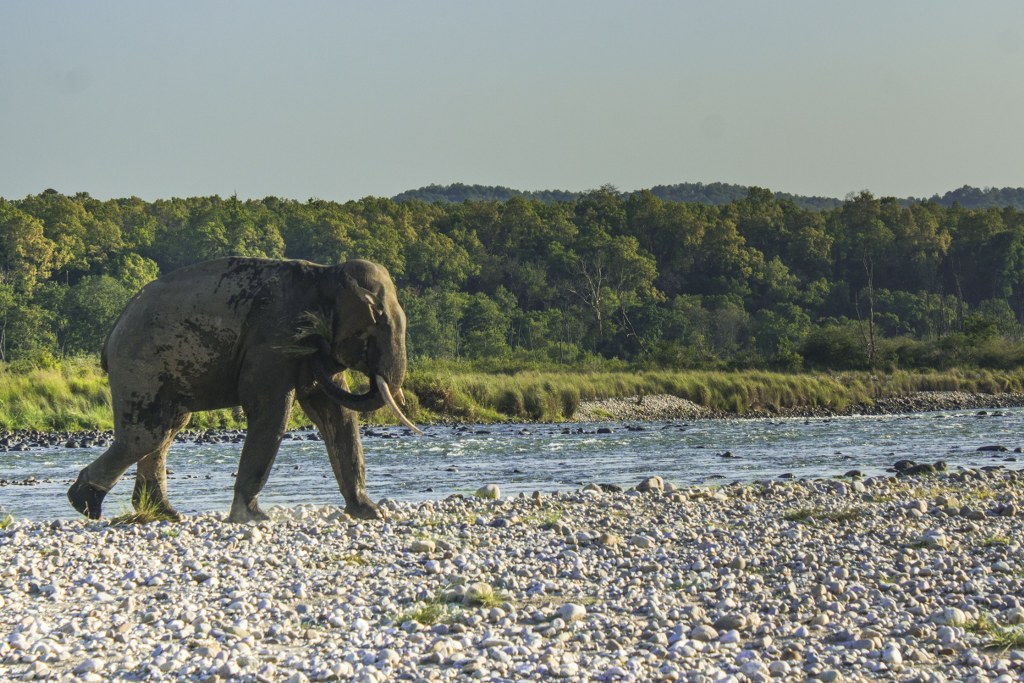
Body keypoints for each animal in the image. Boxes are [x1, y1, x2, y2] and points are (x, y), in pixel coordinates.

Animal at [67, 255, 415, 524]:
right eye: (379, 322)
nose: (317, 339)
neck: (326, 273)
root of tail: (113, 329)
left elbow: (337, 415)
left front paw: (369, 513)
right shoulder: (273, 339)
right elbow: (271, 411)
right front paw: (253, 518)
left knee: (167, 430)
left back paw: (164, 514)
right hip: (140, 366)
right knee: (148, 434)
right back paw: (84, 504)